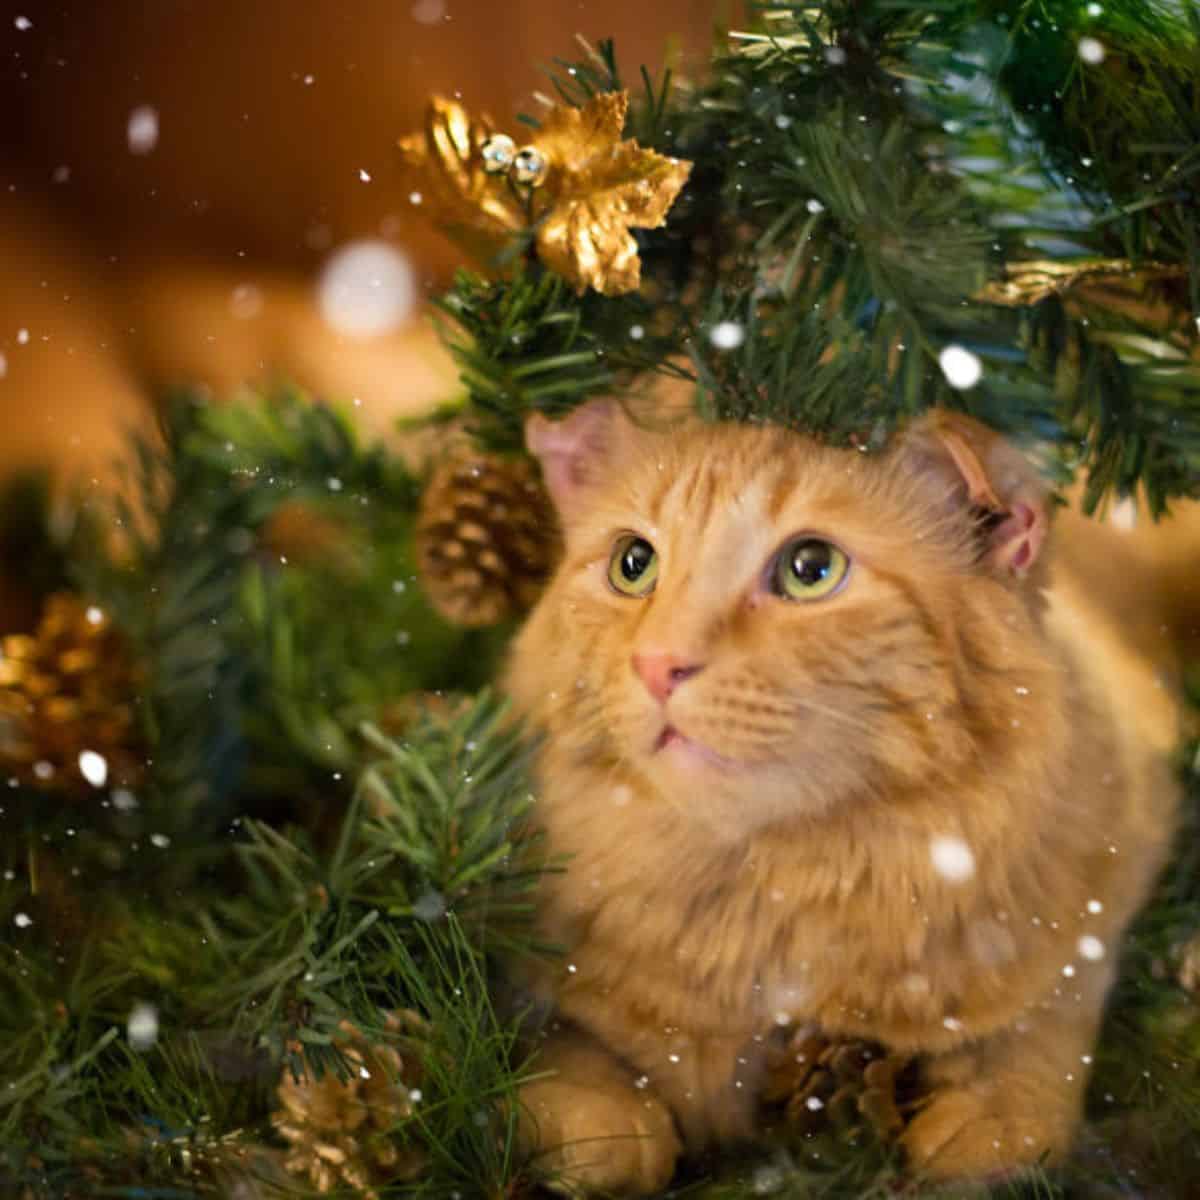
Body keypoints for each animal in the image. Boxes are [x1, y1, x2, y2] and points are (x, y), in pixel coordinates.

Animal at [499, 400, 1190, 1190]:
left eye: (810, 570)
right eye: (633, 564)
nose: (657, 664)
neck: (762, 896)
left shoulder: (1120, 853)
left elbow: (1046, 1017)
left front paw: (989, 1116)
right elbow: (554, 1046)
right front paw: (602, 1122)